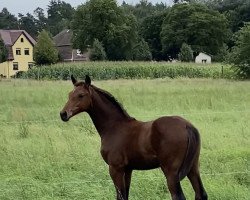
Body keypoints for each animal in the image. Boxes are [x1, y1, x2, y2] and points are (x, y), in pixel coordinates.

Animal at [60, 75, 207, 200]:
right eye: (69, 95)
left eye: (81, 95)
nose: (63, 114)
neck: (114, 126)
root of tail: (187, 126)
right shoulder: (128, 169)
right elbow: (126, 195)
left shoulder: (115, 169)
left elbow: (120, 196)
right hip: (193, 168)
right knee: (201, 194)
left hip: (171, 172)